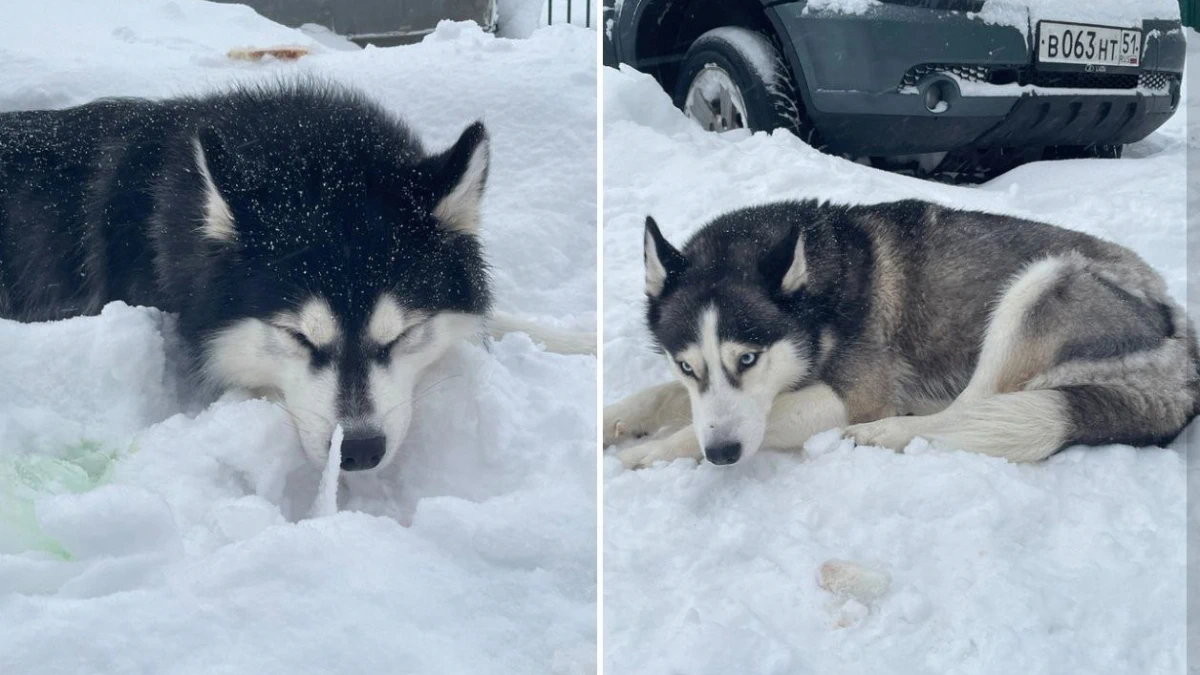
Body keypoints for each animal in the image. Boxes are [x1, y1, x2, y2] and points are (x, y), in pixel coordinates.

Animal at [609, 196, 1200, 466]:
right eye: (688, 365)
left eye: (748, 359)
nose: (723, 454)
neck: (823, 298)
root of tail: (1179, 329)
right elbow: (664, 398)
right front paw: (613, 419)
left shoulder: (853, 396)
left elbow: (742, 419)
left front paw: (648, 454)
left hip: (1038, 284)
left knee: (968, 410)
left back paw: (887, 433)